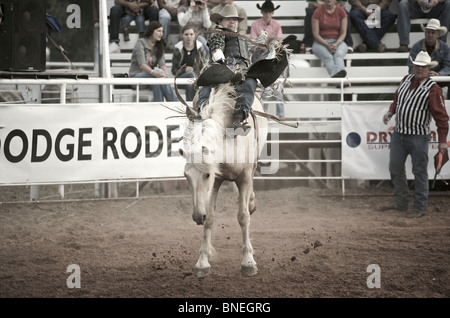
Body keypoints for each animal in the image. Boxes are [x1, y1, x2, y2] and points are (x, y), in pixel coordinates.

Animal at [179, 83, 268, 278]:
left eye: (206, 175)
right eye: (186, 175)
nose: (197, 216)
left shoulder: (244, 177)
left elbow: (243, 216)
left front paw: (248, 262)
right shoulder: (217, 180)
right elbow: (210, 218)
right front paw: (202, 263)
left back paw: (251, 203)